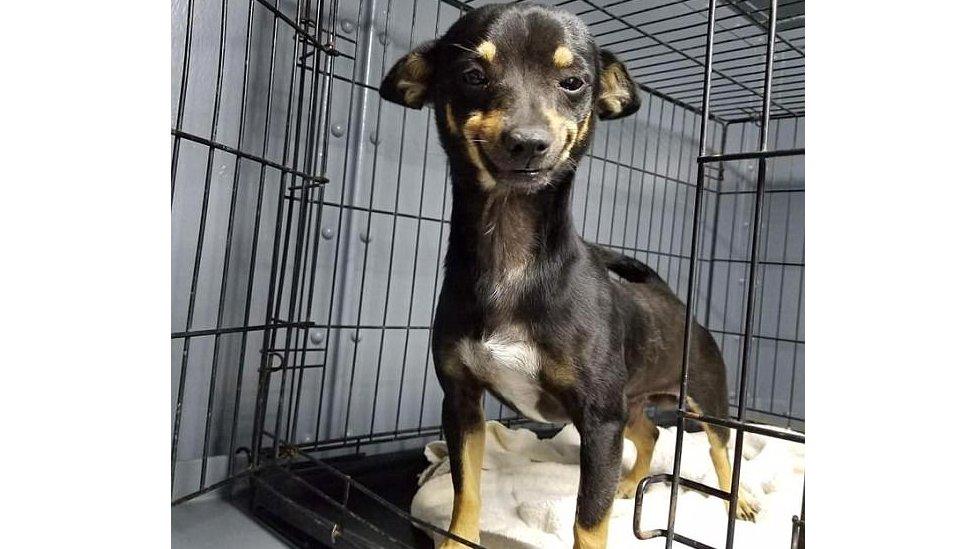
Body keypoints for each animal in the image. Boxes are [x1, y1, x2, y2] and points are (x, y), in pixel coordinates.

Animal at [380, 5, 756, 548]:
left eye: (574, 82)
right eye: (472, 76)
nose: (527, 142)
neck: (511, 251)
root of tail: (671, 300)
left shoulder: (599, 421)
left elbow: (588, 519)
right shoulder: (462, 401)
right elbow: (465, 490)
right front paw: (456, 540)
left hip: (705, 400)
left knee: (723, 450)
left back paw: (737, 500)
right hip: (632, 404)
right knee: (651, 433)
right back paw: (631, 483)